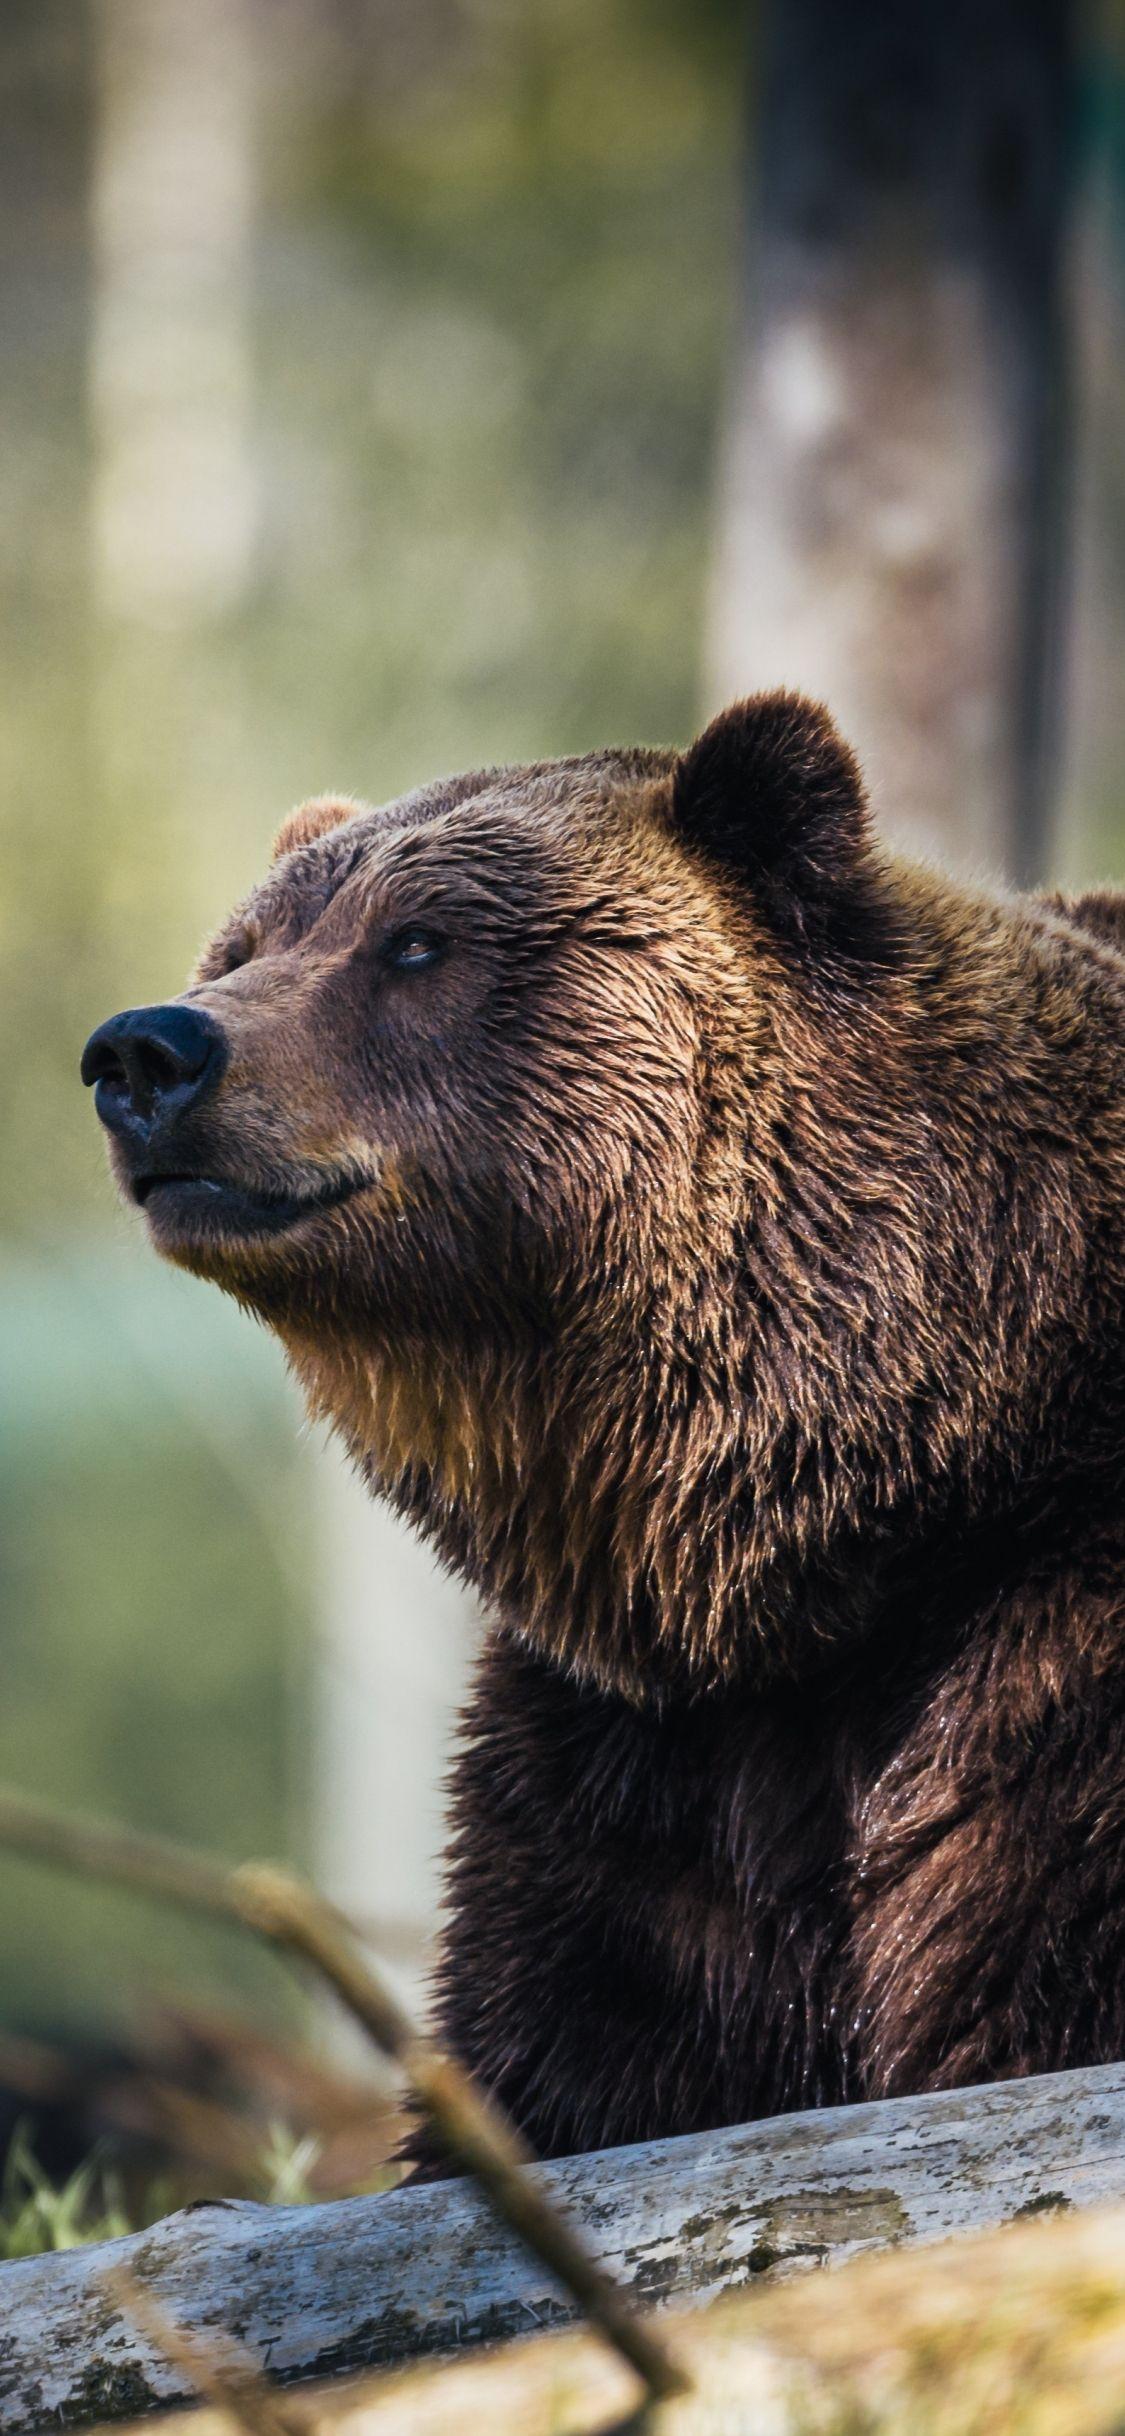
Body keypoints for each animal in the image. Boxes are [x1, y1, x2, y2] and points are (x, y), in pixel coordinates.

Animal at [82, 691, 1125, 2169]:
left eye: (417, 942)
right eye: (243, 946)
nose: (148, 1051)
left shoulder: (1045, 1671)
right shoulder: (631, 1773)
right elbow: (569, 2052)